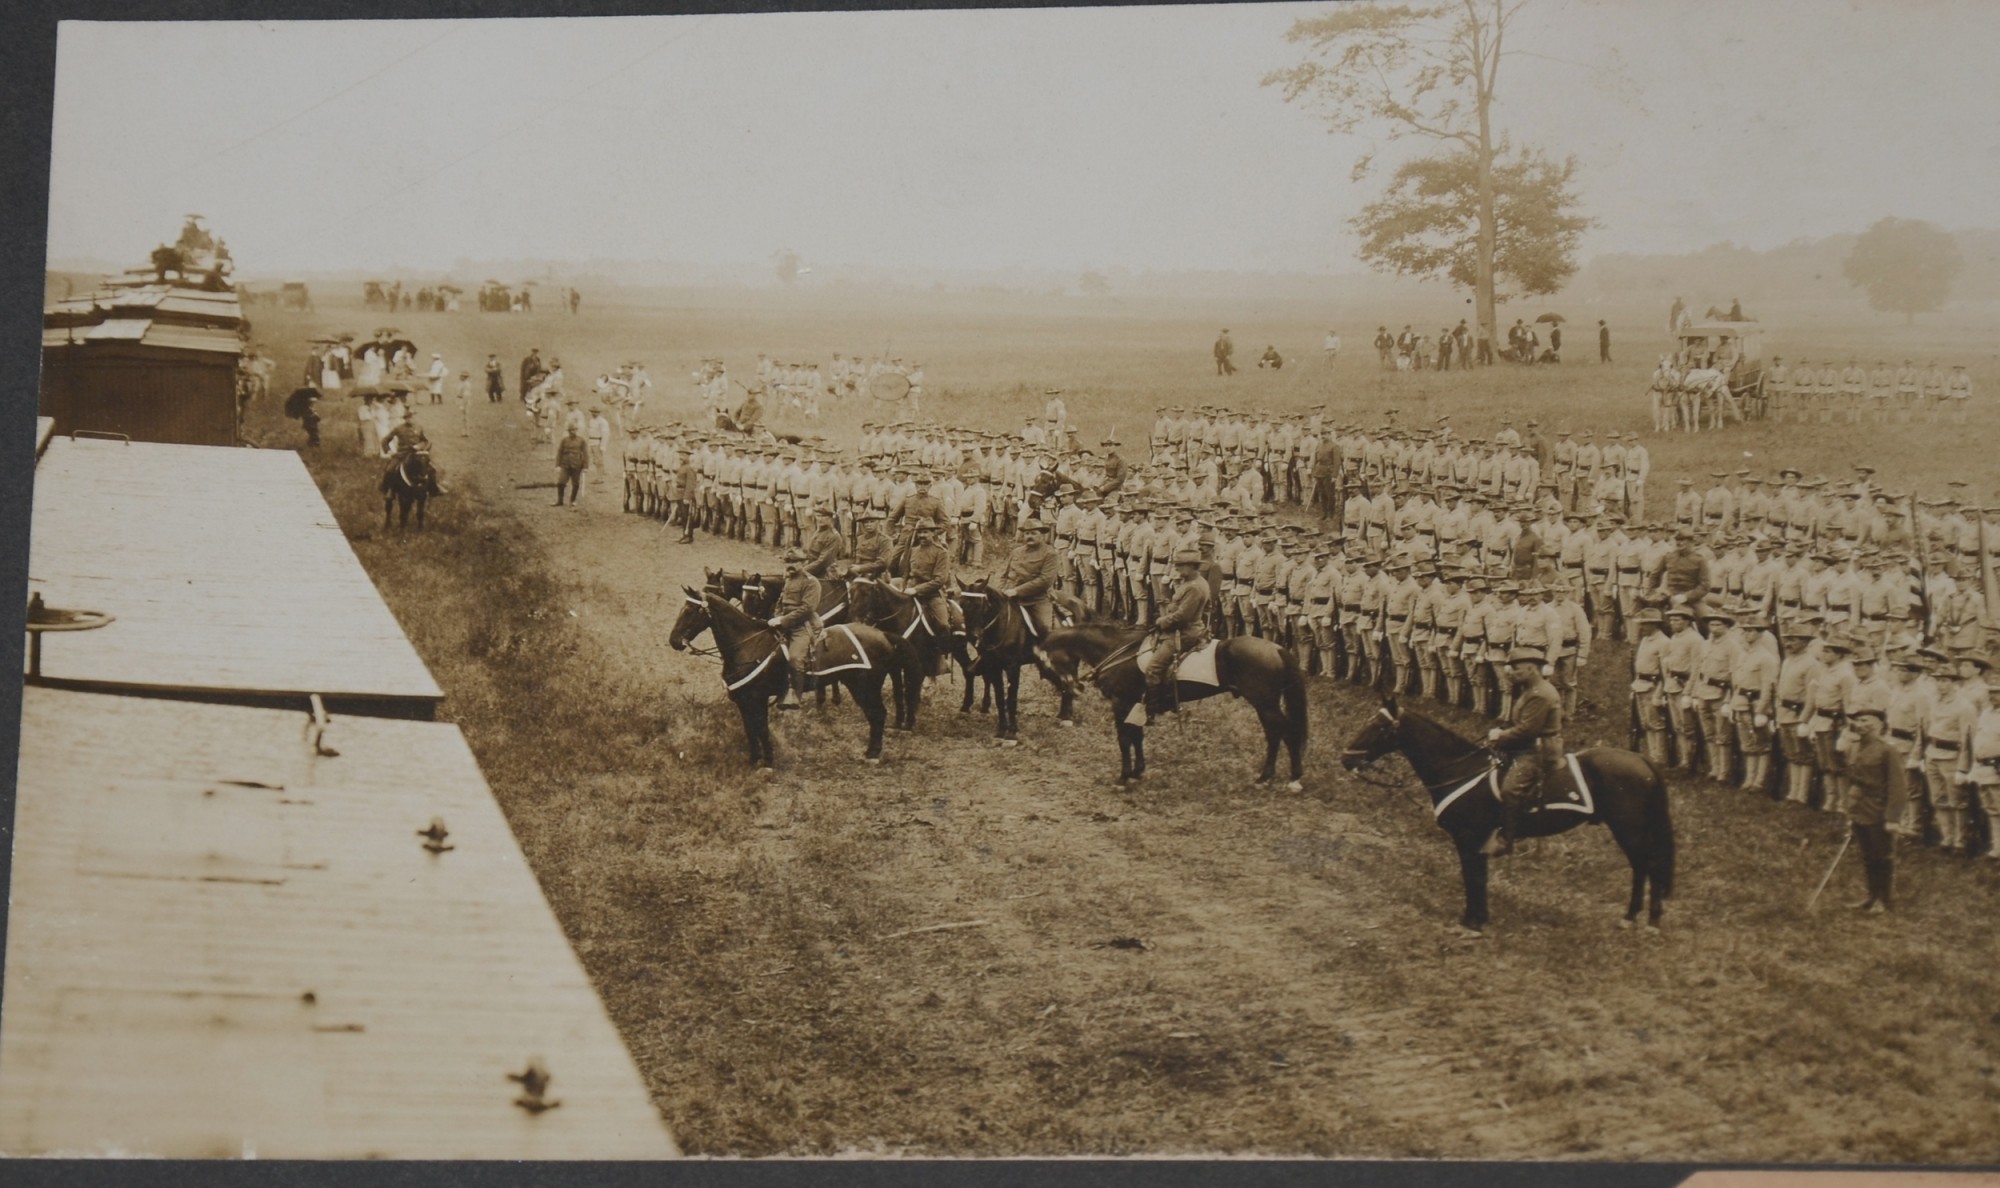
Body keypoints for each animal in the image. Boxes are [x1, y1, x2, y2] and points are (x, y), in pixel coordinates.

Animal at [672, 584, 908, 768]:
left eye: (690, 611)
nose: (673, 641)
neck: (748, 645)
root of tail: (882, 634)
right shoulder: (744, 701)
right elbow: (750, 730)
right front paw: (753, 760)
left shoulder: (757, 699)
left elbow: (762, 729)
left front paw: (767, 762)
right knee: (875, 716)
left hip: (865, 688)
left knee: (878, 715)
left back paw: (873, 754)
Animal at [1032, 620, 1312, 788]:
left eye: (1045, 665)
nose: (1075, 689)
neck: (1117, 650)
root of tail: (1277, 648)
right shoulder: (1135, 703)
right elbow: (1137, 737)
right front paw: (1137, 771)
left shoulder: (1121, 702)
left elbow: (1124, 739)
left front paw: (1123, 777)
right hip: (1266, 705)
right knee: (1276, 734)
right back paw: (1271, 776)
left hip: (1265, 704)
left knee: (1285, 732)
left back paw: (1289, 777)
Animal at [1344, 692, 1672, 936]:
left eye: (1378, 727)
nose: (1346, 759)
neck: (1460, 769)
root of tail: (1643, 760)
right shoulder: (1476, 840)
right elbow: (1477, 877)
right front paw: (1476, 918)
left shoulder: (1468, 838)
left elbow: (1473, 877)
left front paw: (1473, 922)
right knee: (1644, 866)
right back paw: (1637, 918)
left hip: (1628, 829)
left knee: (1647, 865)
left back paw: (1645, 921)